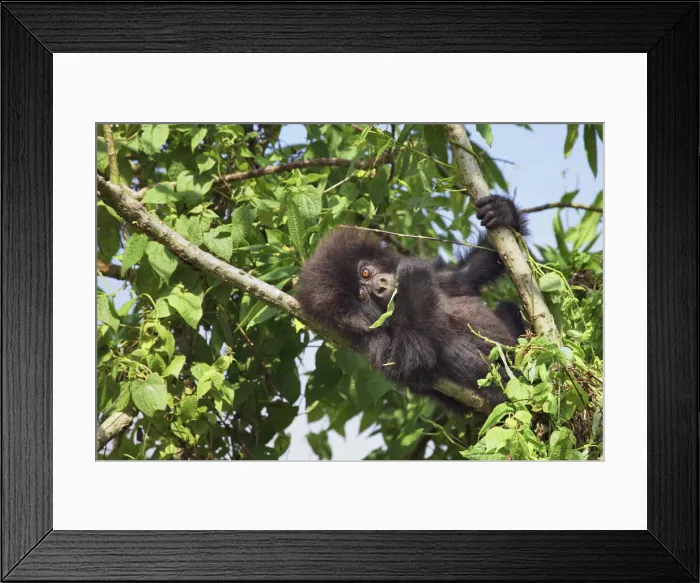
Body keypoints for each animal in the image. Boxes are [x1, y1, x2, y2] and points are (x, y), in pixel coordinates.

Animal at [296, 194, 528, 412]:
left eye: (365, 272)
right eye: (361, 295)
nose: (379, 286)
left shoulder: (441, 278)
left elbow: (468, 274)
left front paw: (502, 211)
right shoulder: (370, 340)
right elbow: (408, 361)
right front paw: (411, 283)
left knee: (507, 309)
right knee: (451, 348)